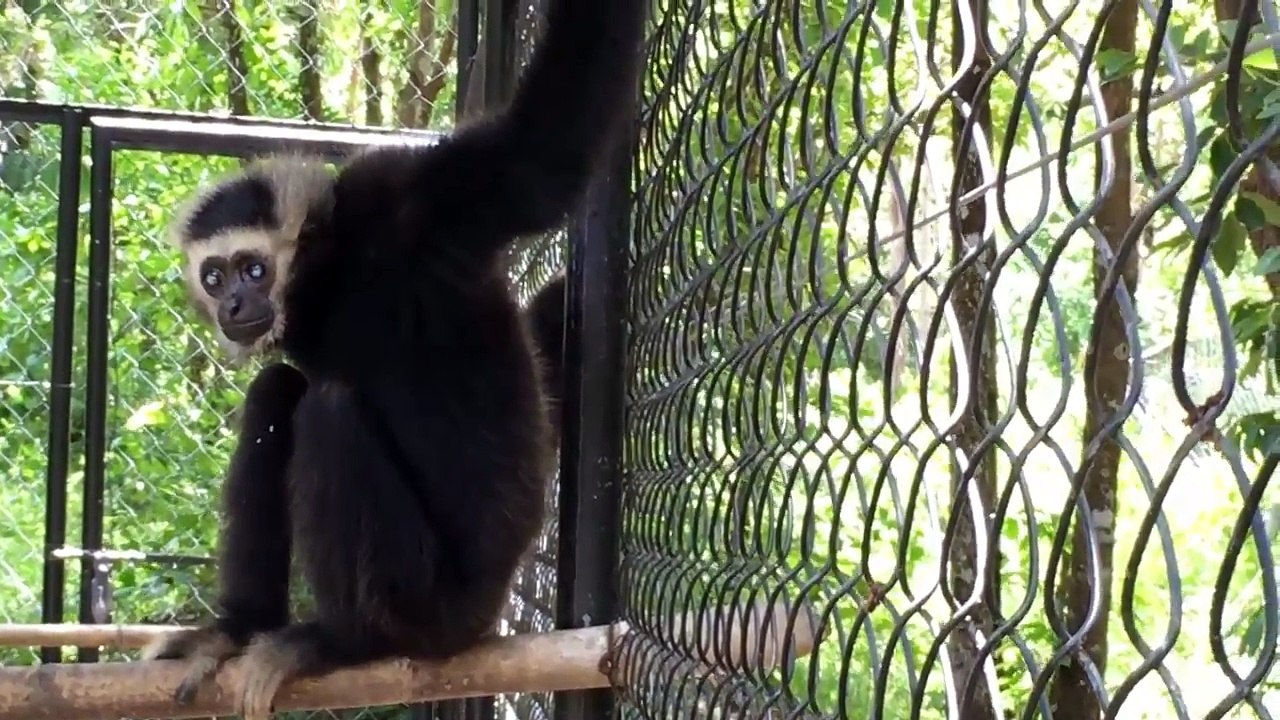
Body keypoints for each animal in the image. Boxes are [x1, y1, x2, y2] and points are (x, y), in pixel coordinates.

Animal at [137, 0, 643, 715]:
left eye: (254, 269)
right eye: (214, 276)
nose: (234, 304)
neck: (332, 279)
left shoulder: (402, 199)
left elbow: (544, 153)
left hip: (435, 606)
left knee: (330, 411)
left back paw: (347, 643)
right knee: (279, 391)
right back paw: (237, 629)